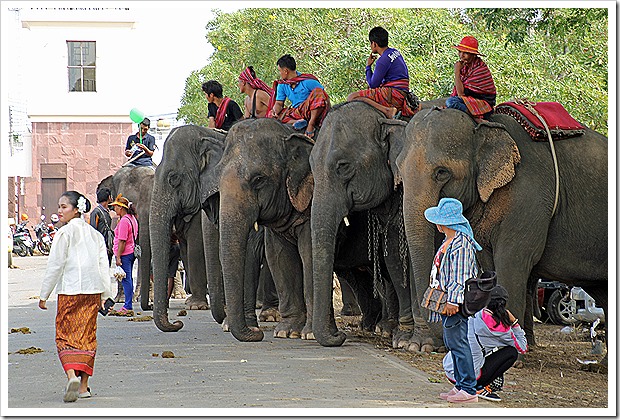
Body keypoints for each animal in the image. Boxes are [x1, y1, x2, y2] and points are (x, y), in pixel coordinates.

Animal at [394, 107, 608, 348]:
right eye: (399, 171)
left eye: (442, 172)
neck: (484, 126)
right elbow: (489, 264)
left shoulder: (529, 198)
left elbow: (512, 260)